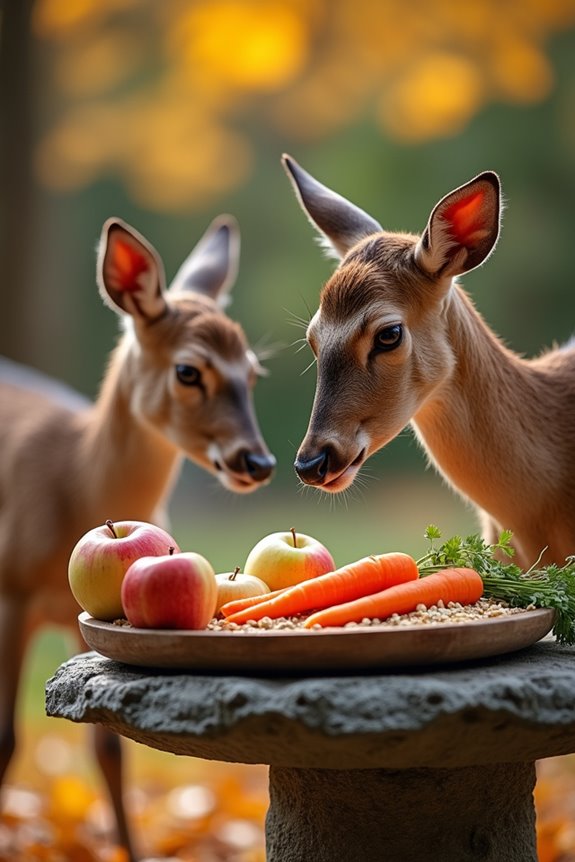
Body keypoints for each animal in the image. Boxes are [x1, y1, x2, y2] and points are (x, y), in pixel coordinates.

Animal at [0, 214, 275, 861]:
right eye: (188, 369)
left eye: (251, 371)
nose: (257, 461)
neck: (74, 483)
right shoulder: (12, 590)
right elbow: (6, 740)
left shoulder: (76, 614)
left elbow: (107, 748)